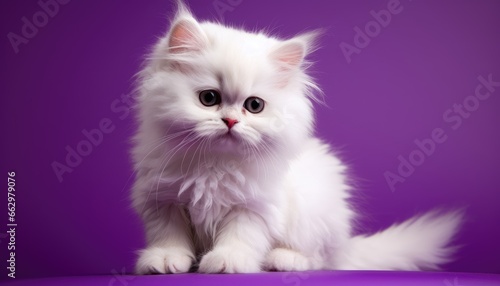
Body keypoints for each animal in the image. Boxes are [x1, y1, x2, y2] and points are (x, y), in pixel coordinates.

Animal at [130, 2, 460, 274]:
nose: (231, 121)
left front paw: (228, 262)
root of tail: (346, 246)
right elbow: (169, 237)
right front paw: (163, 261)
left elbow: (239, 238)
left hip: (311, 216)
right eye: (209, 99)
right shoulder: (163, 201)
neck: (215, 165)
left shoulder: (254, 207)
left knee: (319, 260)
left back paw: (282, 260)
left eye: (254, 106)